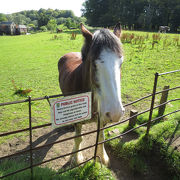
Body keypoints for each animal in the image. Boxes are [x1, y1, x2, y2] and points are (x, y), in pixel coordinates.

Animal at [58, 22, 124, 166]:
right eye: (94, 63)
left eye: (121, 63)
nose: (115, 113)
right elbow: (78, 138)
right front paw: (76, 158)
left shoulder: (102, 117)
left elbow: (101, 137)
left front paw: (102, 157)